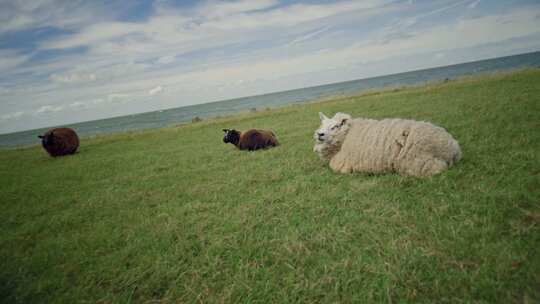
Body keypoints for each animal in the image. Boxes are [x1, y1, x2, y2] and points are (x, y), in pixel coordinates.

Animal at [314, 113, 462, 177]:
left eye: (335, 126)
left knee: (438, 169)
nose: (319, 134)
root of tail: (451, 148)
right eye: (322, 124)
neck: (346, 136)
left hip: (420, 163)